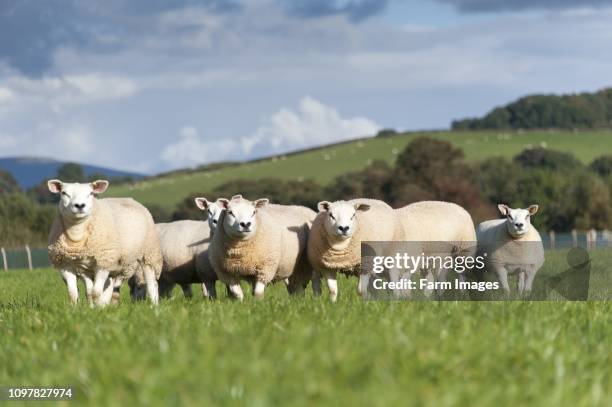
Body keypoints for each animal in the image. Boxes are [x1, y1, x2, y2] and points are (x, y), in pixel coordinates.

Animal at [47, 180, 163, 308]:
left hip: (149, 253)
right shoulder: (66, 266)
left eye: (91, 193)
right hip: (115, 264)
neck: (77, 235)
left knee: (152, 283)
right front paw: (76, 309)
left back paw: (154, 305)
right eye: (64, 193)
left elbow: (96, 292)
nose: (80, 205)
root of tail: (129, 199)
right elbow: (74, 293)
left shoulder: (103, 262)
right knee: (110, 286)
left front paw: (98, 309)